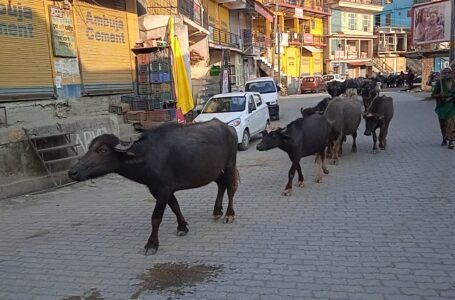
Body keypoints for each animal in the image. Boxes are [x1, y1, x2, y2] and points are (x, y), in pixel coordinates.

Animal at [68, 120, 239, 255]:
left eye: (102, 150)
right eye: (89, 148)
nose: (72, 172)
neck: (146, 156)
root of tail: (229, 128)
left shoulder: (163, 190)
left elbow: (156, 218)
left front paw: (151, 245)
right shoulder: (161, 190)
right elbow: (175, 206)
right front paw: (182, 227)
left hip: (230, 164)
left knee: (230, 188)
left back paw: (229, 215)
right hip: (216, 170)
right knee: (221, 185)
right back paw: (217, 211)